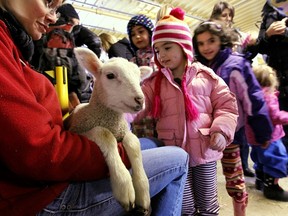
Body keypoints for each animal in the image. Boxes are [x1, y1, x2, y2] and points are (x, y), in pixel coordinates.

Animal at [65, 47, 153, 214]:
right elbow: (104, 134)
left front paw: (143, 192)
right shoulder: (80, 131)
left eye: (139, 79)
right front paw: (124, 187)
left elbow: (133, 142)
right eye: (110, 75)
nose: (140, 99)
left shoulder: (124, 131)